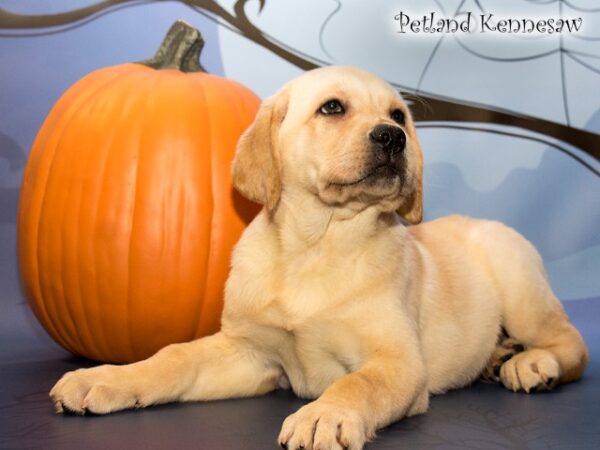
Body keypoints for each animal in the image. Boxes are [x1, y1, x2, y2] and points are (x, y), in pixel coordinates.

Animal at [50, 67, 584, 450]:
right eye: (332, 108)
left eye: (399, 115)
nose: (393, 137)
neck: (317, 245)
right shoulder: (249, 353)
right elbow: (173, 357)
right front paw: (107, 378)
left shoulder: (397, 362)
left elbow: (358, 384)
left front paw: (323, 414)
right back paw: (499, 355)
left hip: (521, 289)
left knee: (571, 343)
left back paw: (530, 364)